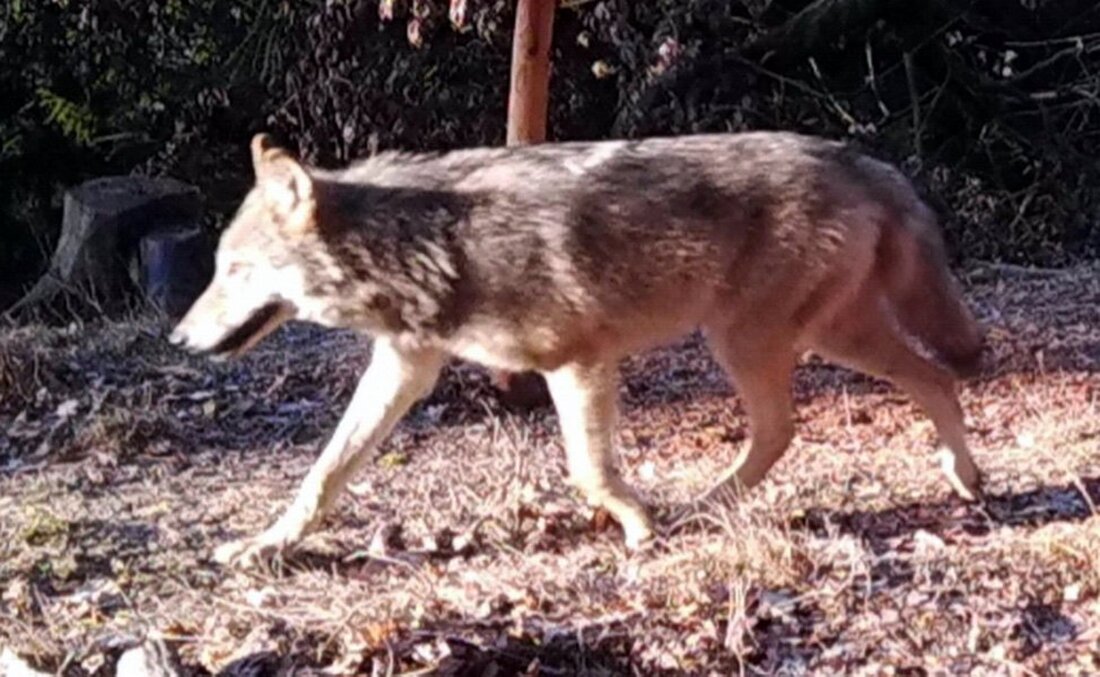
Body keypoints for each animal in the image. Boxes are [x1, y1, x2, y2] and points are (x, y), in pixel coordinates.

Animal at [171, 131, 987, 568]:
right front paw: (264, 546)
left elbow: (590, 471)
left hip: (769, 338)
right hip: (779, 337)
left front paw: (637, 528)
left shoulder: (578, 362)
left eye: (231, 270)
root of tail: (863, 159)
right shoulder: (406, 365)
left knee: (913, 380)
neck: (430, 245)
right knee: (834, 411)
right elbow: (323, 474)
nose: (178, 336)